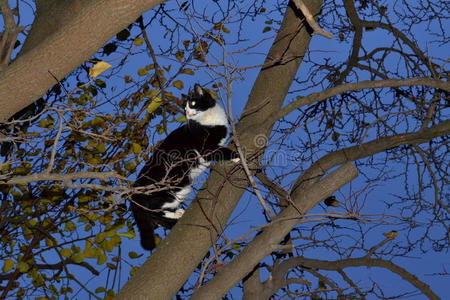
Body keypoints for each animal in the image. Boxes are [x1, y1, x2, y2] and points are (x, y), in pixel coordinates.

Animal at [130, 84, 239, 251]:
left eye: (192, 103)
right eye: (185, 107)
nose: (187, 113)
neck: (208, 119)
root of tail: (134, 189)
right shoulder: (206, 149)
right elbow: (221, 151)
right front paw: (237, 155)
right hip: (175, 185)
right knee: (154, 210)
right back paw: (175, 215)